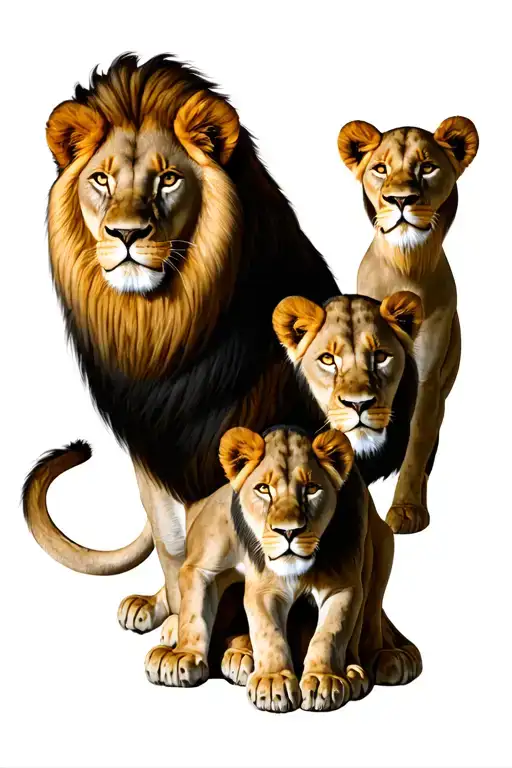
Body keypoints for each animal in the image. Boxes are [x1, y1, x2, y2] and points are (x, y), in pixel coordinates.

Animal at [22, 54, 339, 635]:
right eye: (101, 179)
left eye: (167, 179)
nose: (126, 234)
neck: (162, 329)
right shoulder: (152, 450)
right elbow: (175, 546)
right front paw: (180, 621)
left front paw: (233, 642)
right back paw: (153, 606)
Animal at [144, 426, 422, 712]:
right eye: (263, 489)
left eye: (311, 489)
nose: (289, 531)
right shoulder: (246, 581)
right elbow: (256, 629)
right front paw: (271, 682)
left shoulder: (342, 585)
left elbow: (330, 633)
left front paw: (323, 680)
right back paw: (235, 656)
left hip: (382, 545)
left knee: (369, 620)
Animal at [337, 117, 479, 533]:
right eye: (380, 168)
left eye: (427, 167)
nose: (401, 200)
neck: (407, 264)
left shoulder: (429, 378)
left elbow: (417, 444)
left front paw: (406, 509)